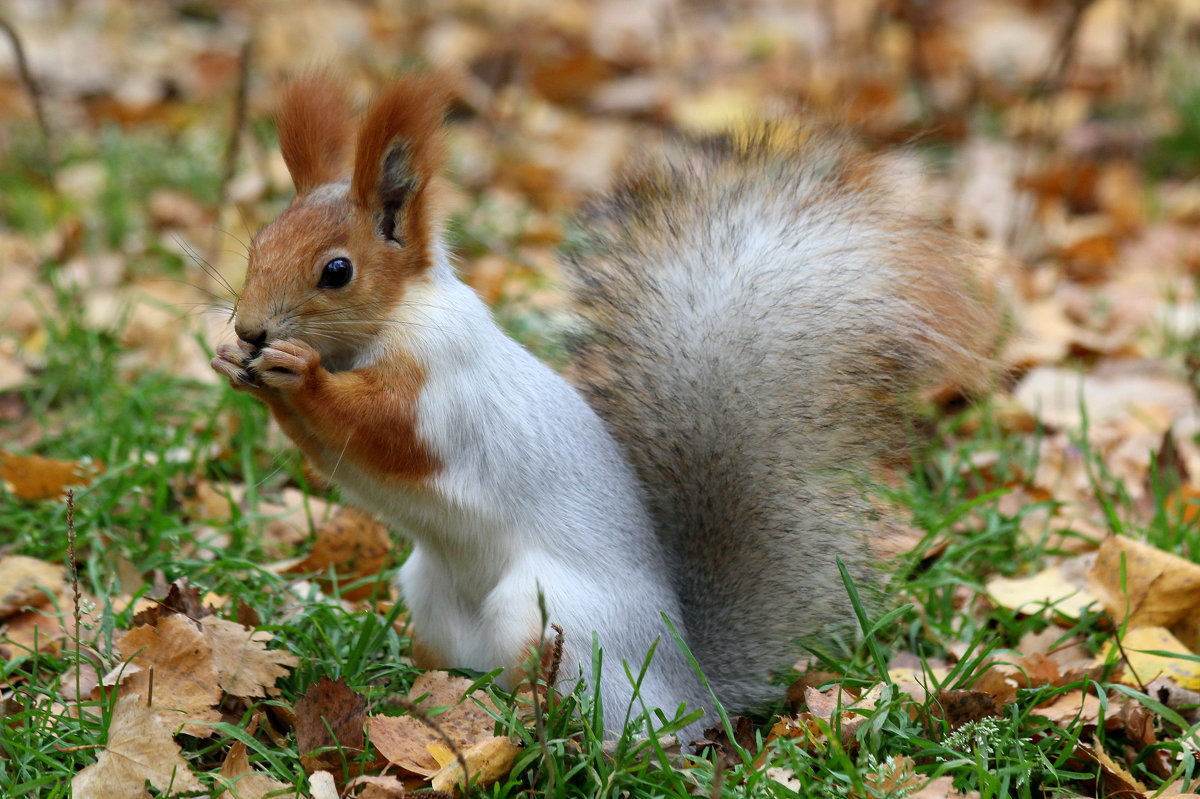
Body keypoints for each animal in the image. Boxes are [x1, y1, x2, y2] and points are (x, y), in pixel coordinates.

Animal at [211, 74, 998, 739]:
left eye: (337, 271)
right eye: (257, 244)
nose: (250, 329)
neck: (388, 325)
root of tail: (690, 689)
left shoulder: (442, 388)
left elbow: (385, 431)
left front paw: (299, 374)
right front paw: (234, 366)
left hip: (549, 612)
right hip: (432, 596)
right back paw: (431, 697)